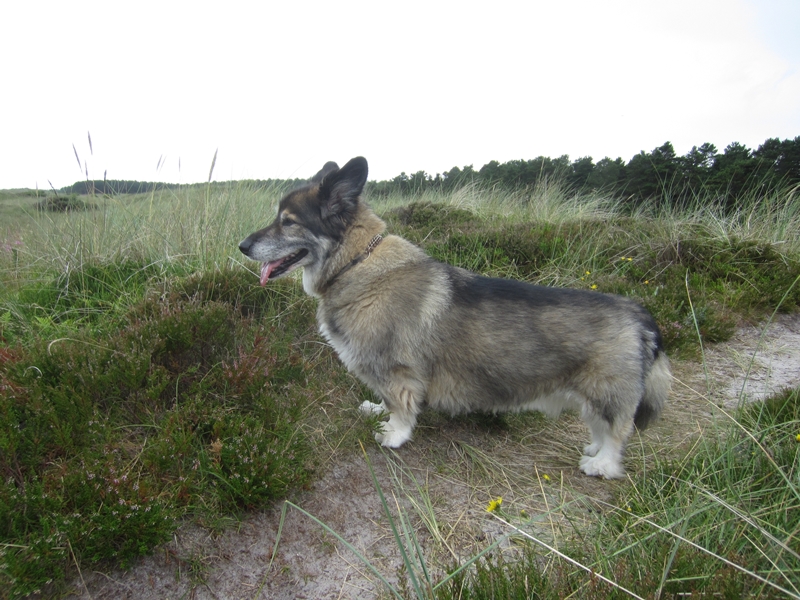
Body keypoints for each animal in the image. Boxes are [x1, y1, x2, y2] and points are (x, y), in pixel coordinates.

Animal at [241, 157, 672, 480]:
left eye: (288, 221)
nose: (242, 245)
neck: (357, 264)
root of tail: (641, 316)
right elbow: (384, 399)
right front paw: (376, 412)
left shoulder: (397, 371)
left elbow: (400, 407)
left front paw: (393, 434)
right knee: (601, 428)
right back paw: (594, 450)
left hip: (606, 392)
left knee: (617, 431)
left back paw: (602, 464)